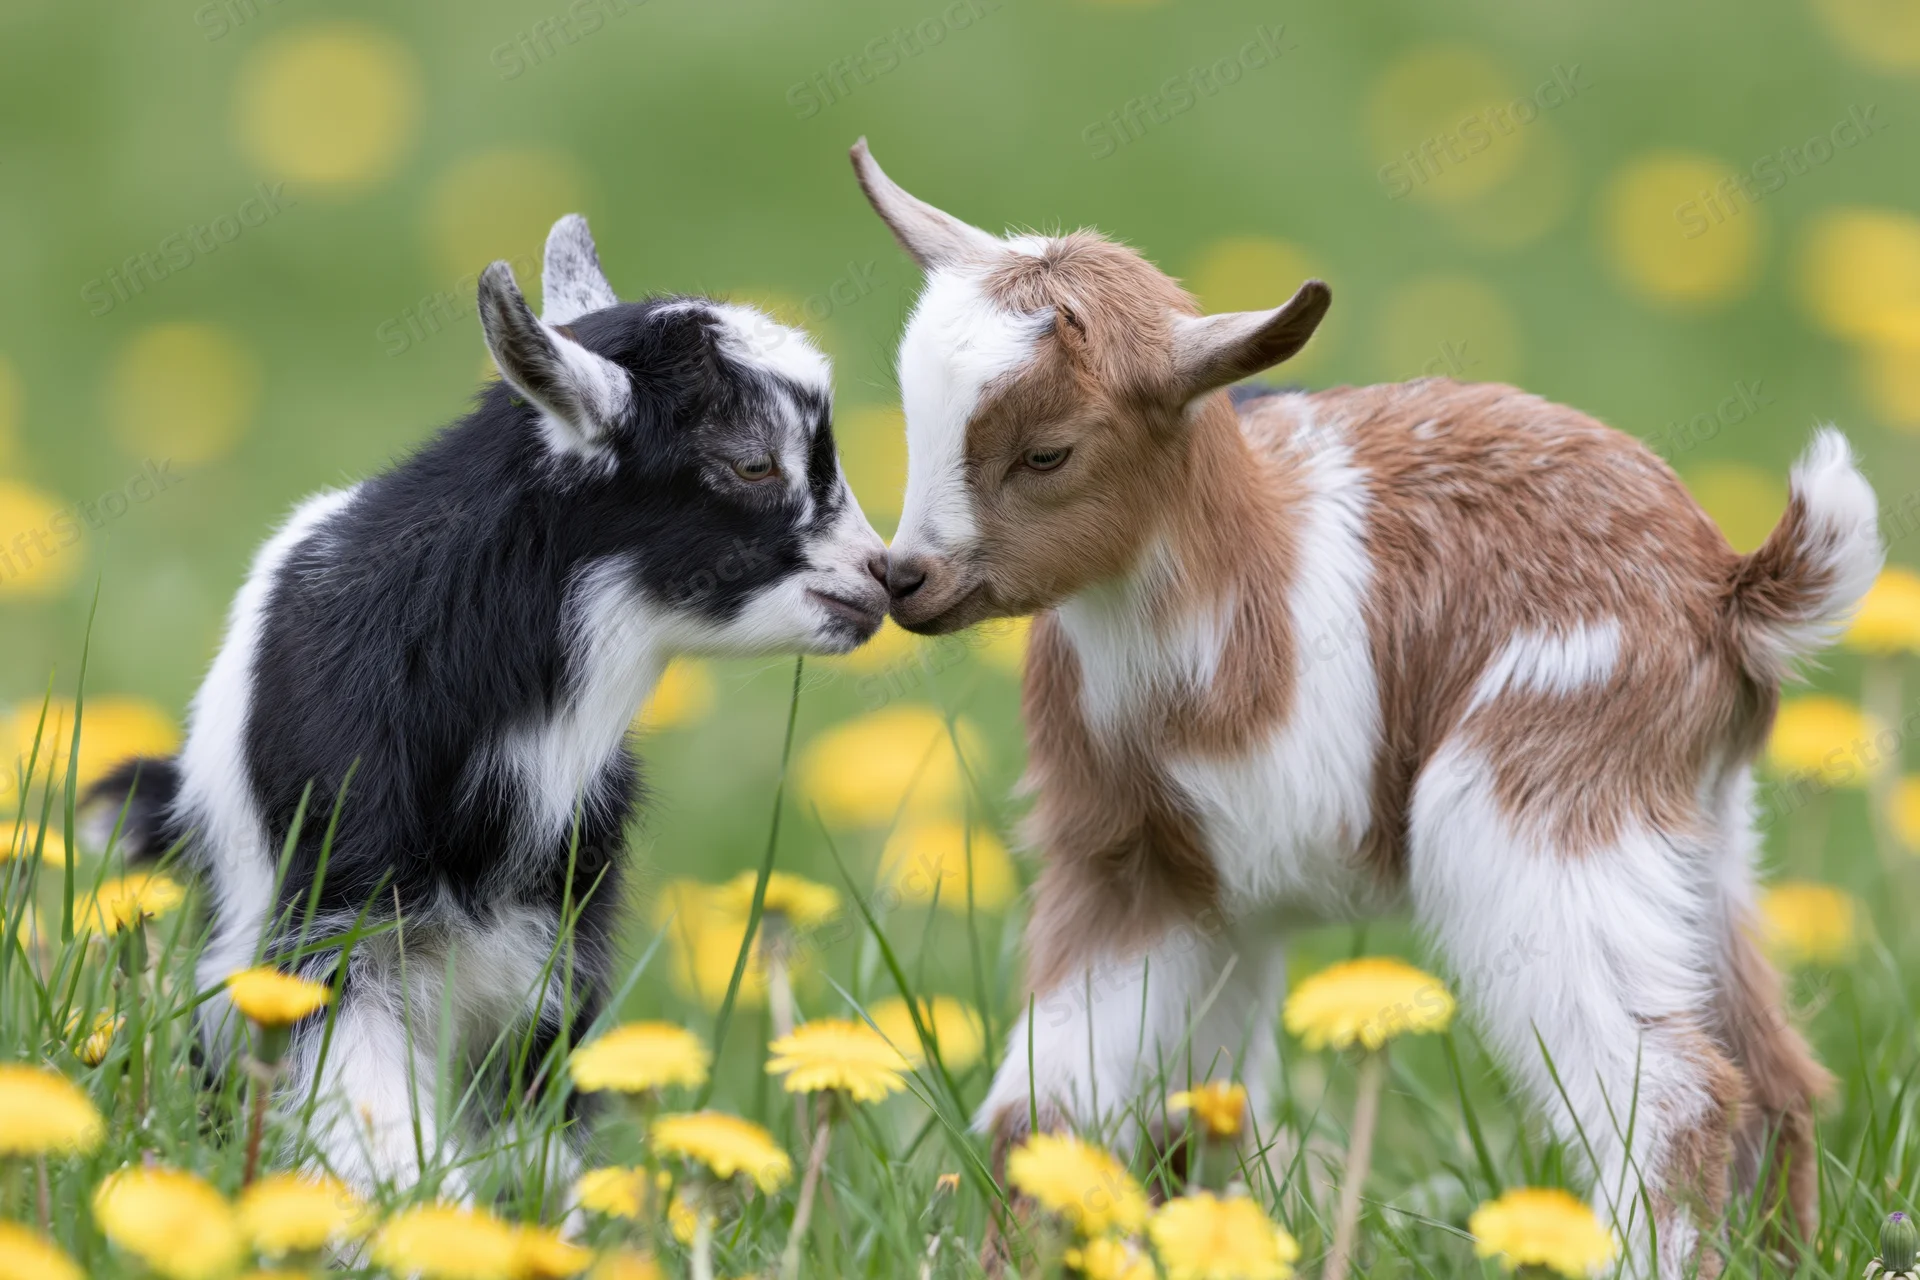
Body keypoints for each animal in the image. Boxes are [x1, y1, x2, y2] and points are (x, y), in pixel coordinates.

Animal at [849, 138, 1880, 1276]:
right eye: (918, 423)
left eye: (1047, 452)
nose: (906, 579)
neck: (1241, 571)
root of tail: (1727, 588)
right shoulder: (1153, 868)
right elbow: (1100, 1110)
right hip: (1697, 828)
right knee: (1776, 1076)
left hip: (1537, 804)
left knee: (1679, 1088)